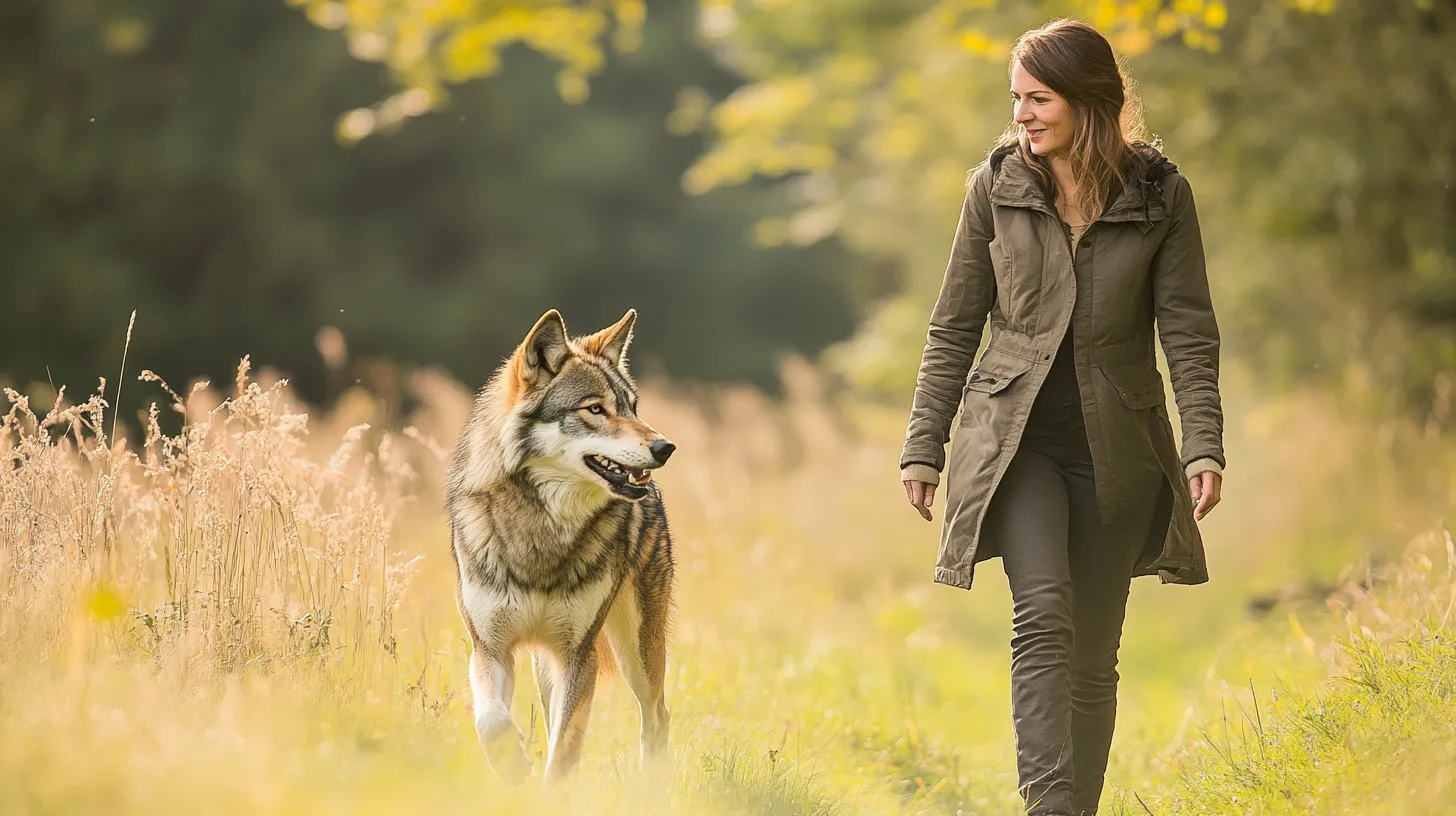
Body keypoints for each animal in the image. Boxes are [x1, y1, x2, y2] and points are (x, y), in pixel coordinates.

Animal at [445, 308, 676, 783]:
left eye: (632, 407)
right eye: (595, 409)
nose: (665, 447)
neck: (542, 531)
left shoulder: (579, 656)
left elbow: (564, 751)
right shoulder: (489, 648)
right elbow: (492, 722)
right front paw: (515, 769)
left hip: (637, 653)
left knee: (657, 717)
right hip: (547, 665)